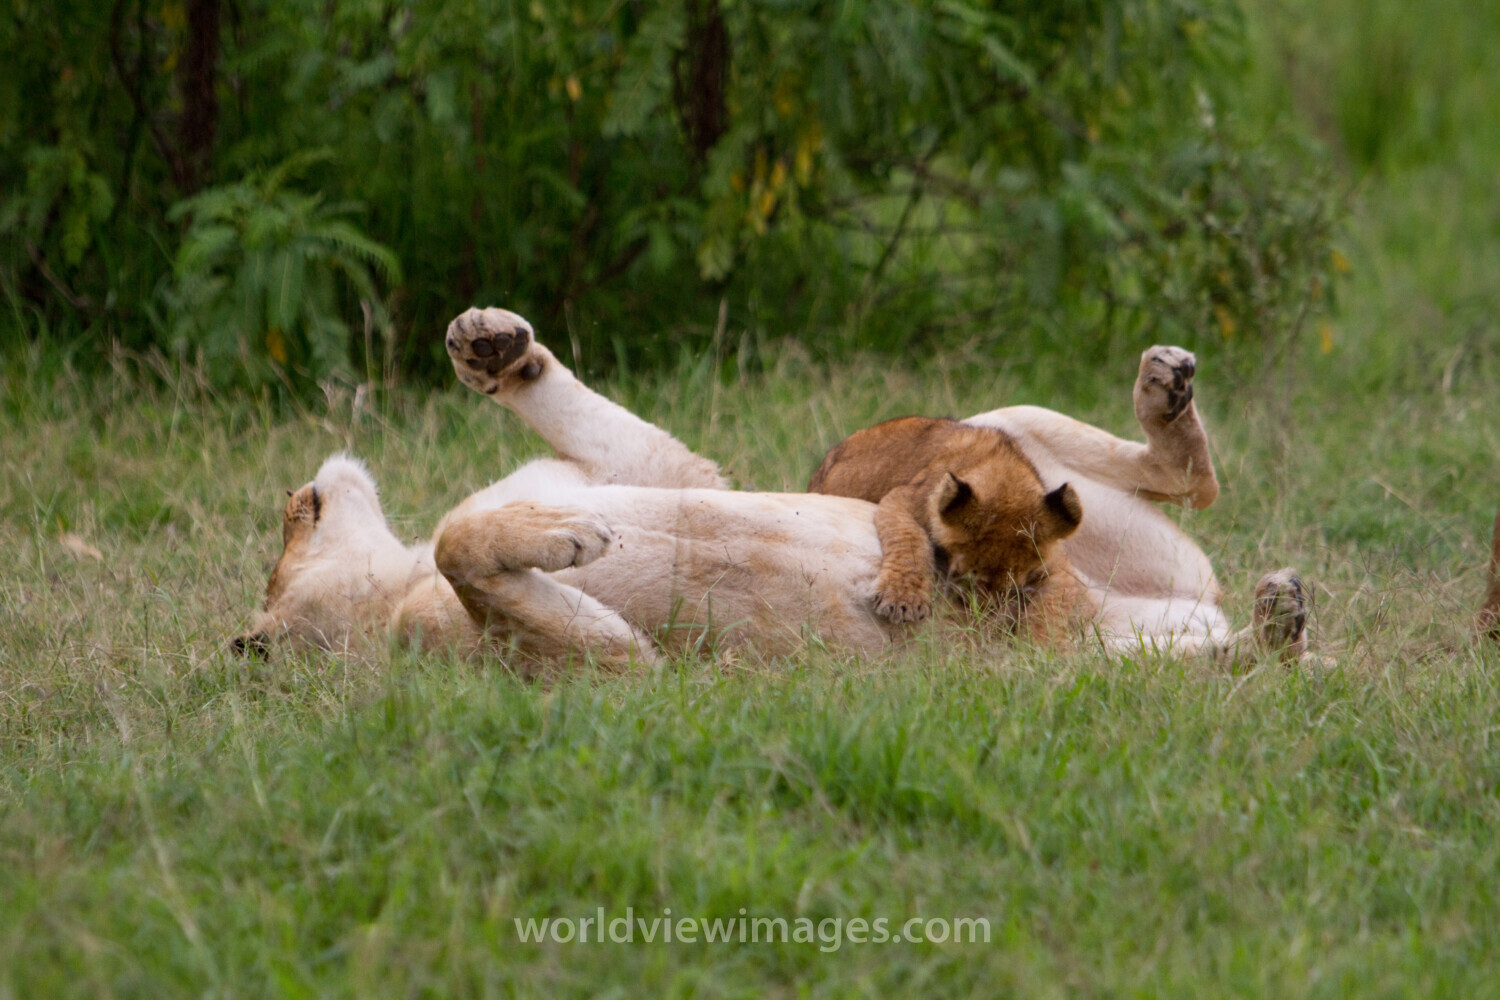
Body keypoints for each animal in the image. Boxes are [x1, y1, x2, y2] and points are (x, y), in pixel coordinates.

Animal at [235, 308, 1311, 667]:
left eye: (288, 527)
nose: (295, 488)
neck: (395, 577)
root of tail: (1179, 611)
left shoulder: (658, 471)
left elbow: (577, 424)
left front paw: (493, 347)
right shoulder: (607, 675)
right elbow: (472, 547)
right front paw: (578, 540)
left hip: (1009, 424)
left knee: (1187, 477)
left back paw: (1168, 386)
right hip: (1080, 676)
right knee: (1247, 665)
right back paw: (1276, 618)